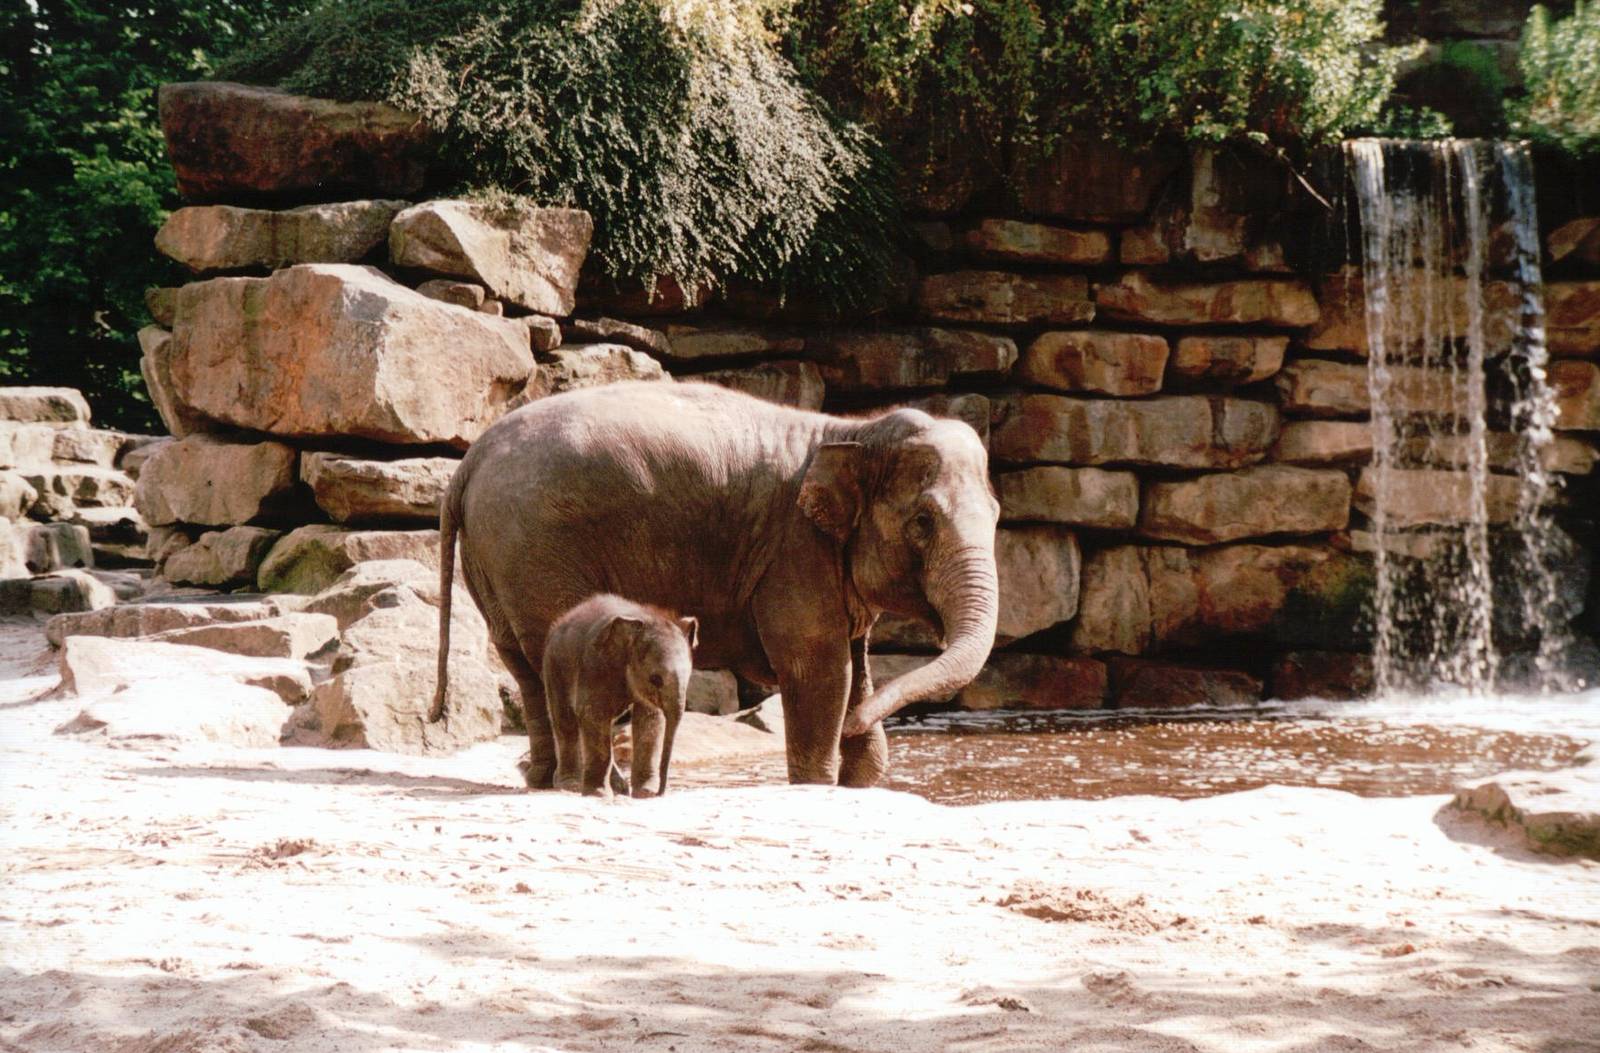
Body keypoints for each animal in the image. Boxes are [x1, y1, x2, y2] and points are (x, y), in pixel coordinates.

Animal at [541, 592, 697, 797]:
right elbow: (593, 714)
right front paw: (598, 794)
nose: (660, 793)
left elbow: (649, 719)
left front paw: (644, 793)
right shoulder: (595, 665)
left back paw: (619, 787)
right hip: (554, 667)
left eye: (689, 676)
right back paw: (571, 785)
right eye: (655, 679)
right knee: (565, 721)